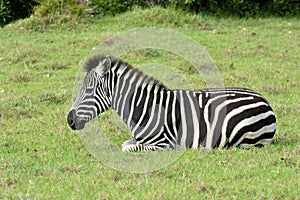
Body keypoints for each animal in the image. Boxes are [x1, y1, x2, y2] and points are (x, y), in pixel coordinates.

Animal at [68, 54, 276, 152]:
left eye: (88, 91)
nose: (69, 120)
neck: (144, 107)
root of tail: (265, 101)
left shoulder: (162, 144)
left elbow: (127, 148)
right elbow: (125, 143)